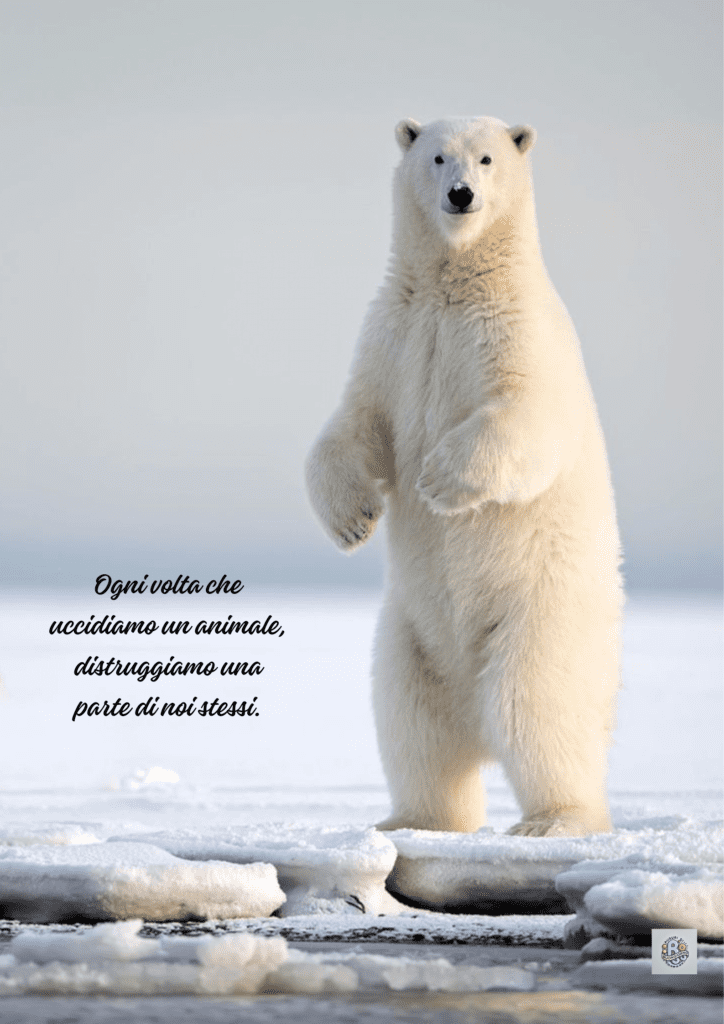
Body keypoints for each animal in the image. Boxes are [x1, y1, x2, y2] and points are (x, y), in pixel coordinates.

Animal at [306, 116, 622, 837]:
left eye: (486, 158)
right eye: (436, 156)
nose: (460, 195)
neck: (455, 283)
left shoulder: (516, 330)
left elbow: (526, 416)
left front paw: (437, 482)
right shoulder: (394, 334)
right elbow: (357, 423)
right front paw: (353, 519)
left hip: (540, 614)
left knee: (535, 707)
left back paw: (554, 819)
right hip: (409, 638)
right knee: (412, 725)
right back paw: (410, 820)